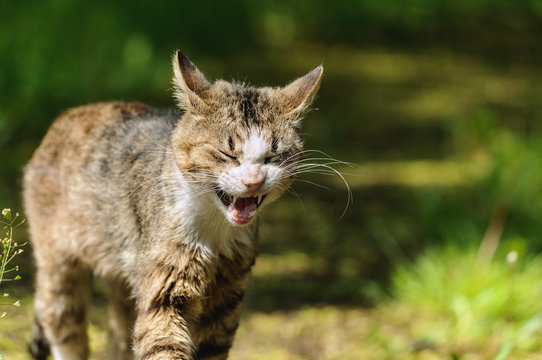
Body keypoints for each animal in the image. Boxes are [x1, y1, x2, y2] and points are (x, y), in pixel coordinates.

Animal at [23, 50, 324, 360]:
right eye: (228, 154)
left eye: (274, 157)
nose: (253, 181)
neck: (214, 229)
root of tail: (70, 114)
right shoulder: (165, 289)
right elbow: (162, 343)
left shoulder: (226, 299)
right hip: (59, 265)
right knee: (62, 322)